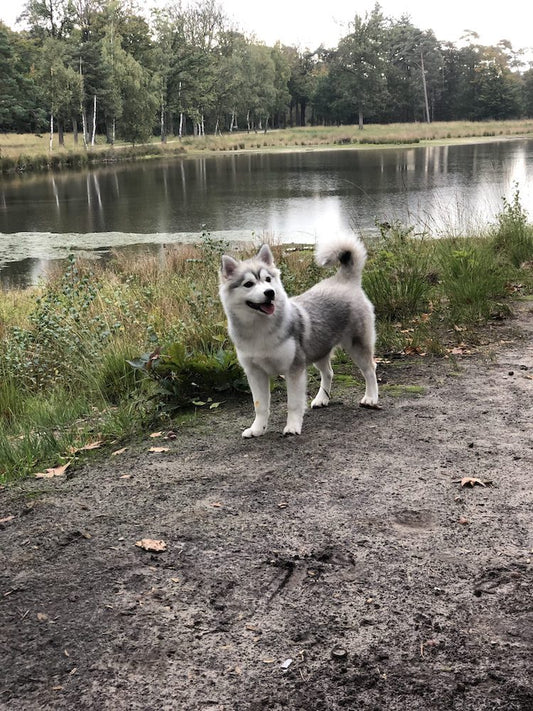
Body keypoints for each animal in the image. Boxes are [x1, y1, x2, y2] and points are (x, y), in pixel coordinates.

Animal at [217, 236, 378, 436]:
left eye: (268, 279)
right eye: (248, 284)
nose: (270, 292)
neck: (260, 329)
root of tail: (344, 280)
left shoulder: (294, 369)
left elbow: (293, 403)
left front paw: (293, 426)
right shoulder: (255, 373)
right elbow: (260, 406)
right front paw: (257, 429)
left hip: (357, 345)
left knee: (370, 369)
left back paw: (371, 398)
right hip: (319, 350)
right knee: (328, 373)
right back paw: (322, 399)